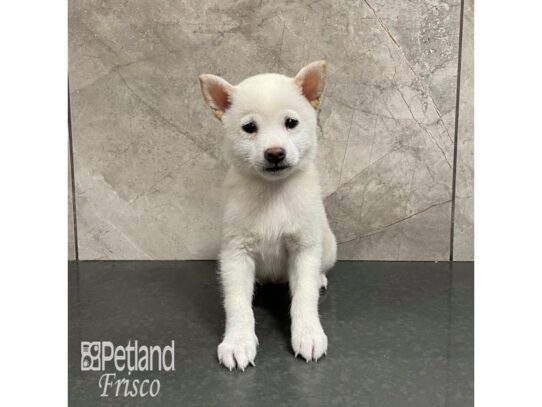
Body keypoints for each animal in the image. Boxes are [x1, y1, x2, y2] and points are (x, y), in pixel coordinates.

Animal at [199, 62, 336, 372]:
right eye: (250, 128)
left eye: (291, 123)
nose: (275, 153)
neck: (273, 193)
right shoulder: (236, 253)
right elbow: (237, 304)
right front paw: (238, 342)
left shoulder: (304, 249)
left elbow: (304, 299)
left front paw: (308, 334)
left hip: (328, 246)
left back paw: (320, 279)